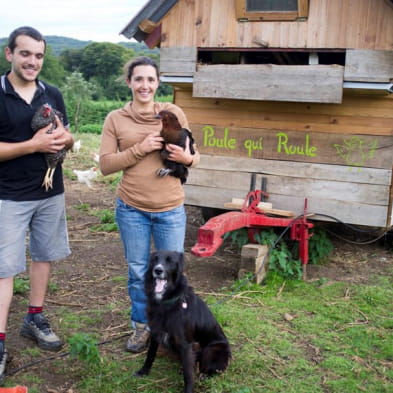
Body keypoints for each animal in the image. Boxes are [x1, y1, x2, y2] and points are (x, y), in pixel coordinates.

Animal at [135, 250, 230, 390]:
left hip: (212, 349)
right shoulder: (155, 333)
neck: (166, 303)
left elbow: (188, 375)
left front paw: (188, 389)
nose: (157, 270)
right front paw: (144, 371)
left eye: (170, 261)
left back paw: (204, 375)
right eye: (154, 260)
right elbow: (150, 355)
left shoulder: (185, 345)